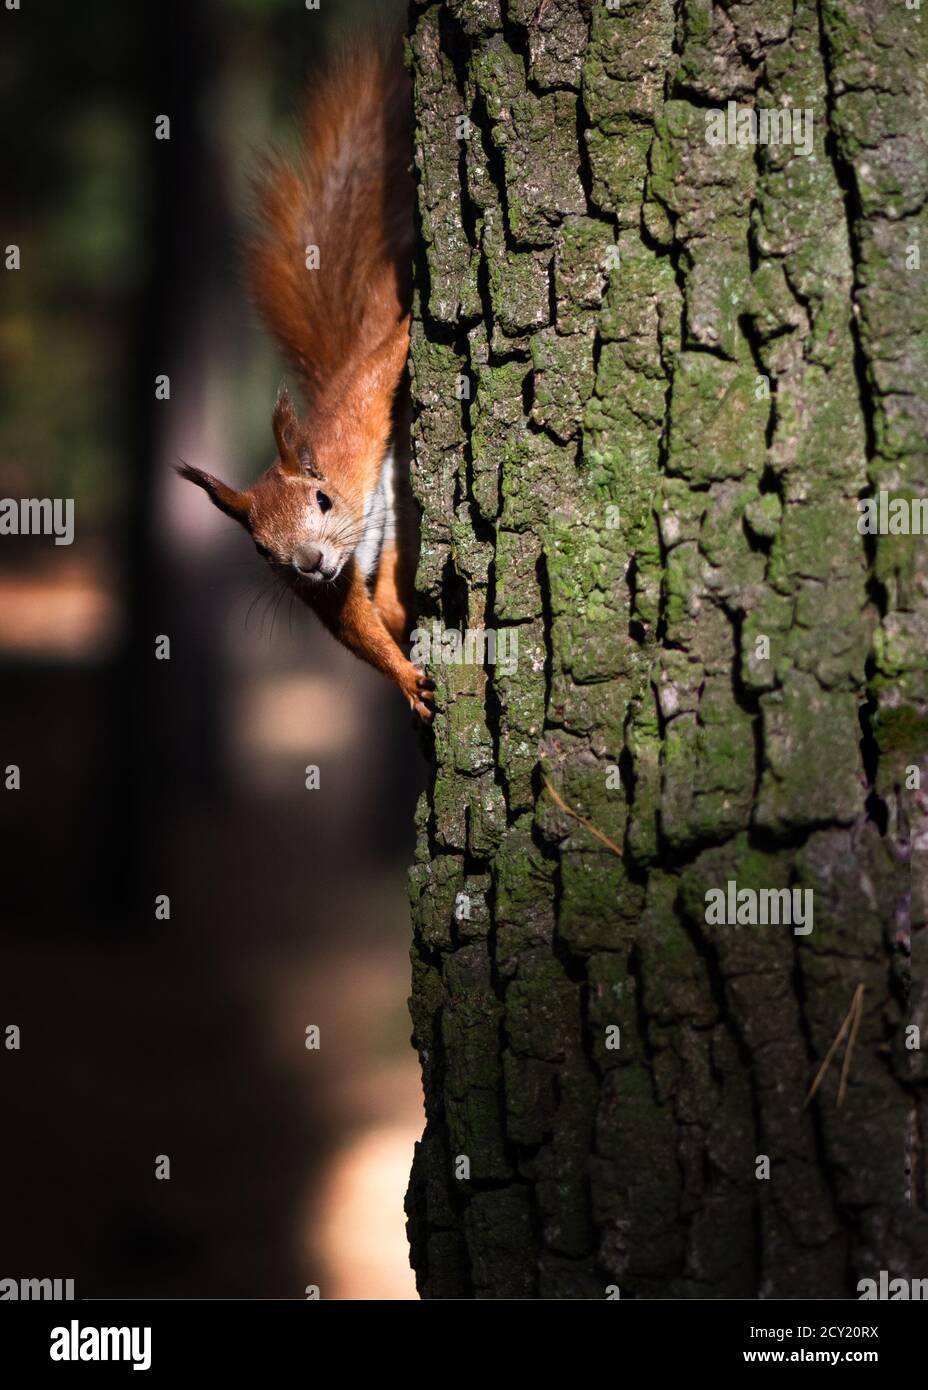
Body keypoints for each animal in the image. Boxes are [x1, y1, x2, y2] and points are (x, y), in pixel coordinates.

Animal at [179, 36, 433, 721]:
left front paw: (410, 326)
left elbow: (386, 363)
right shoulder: (323, 594)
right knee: (387, 601)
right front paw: (405, 677)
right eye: (261, 552)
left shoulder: (356, 424)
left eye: (321, 500)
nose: (311, 561)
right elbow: (353, 627)